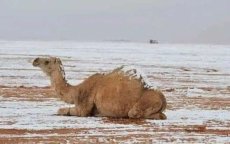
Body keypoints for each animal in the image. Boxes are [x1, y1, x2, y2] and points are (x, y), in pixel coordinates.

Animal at [32, 56, 167, 120]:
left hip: (144, 103)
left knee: (135, 114)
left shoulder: (84, 106)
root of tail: (163, 99)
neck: (77, 91)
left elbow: (62, 110)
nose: (35, 60)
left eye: (47, 61)